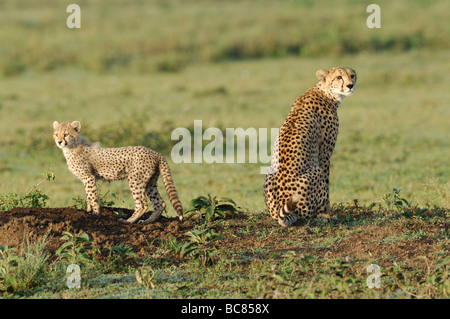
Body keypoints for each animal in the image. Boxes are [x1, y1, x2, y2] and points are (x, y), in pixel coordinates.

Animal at [53, 120, 184, 225]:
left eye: (66, 134)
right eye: (56, 134)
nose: (59, 142)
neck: (72, 147)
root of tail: (154, 151)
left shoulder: (88, 177)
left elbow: (92, 195)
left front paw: (95, 214)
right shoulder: (88, 178)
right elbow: (88, 195)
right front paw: (89, 210)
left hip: (135, 180)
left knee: (142, 204)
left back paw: (128, 221)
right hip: (150, 182)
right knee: (160, 203)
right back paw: (147, 222)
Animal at [264, 67, 356, 228]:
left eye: (352, 75)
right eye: (339, 77)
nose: (350, 85)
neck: (326, 93)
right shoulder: (324, 155)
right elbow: (327, 187)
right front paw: (328, 214)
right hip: (315, 171)